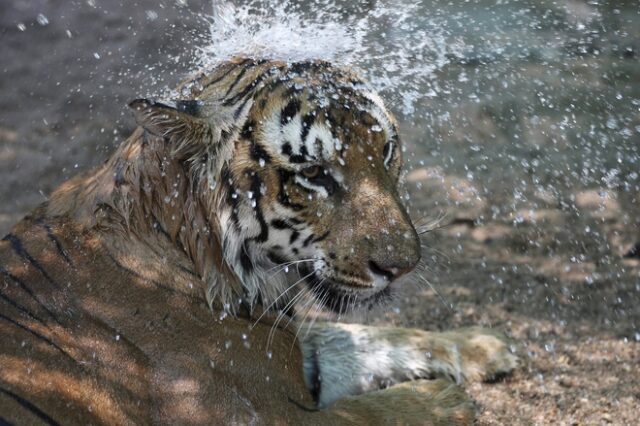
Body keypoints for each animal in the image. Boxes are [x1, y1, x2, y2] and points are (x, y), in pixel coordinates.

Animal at [0, 57, 516, 426]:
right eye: (315, 174)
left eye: (386, 150)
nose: (402, 266)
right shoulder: (259, 411)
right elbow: (373, 413)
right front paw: (446, 398)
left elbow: (361, 337)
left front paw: (481, 343)